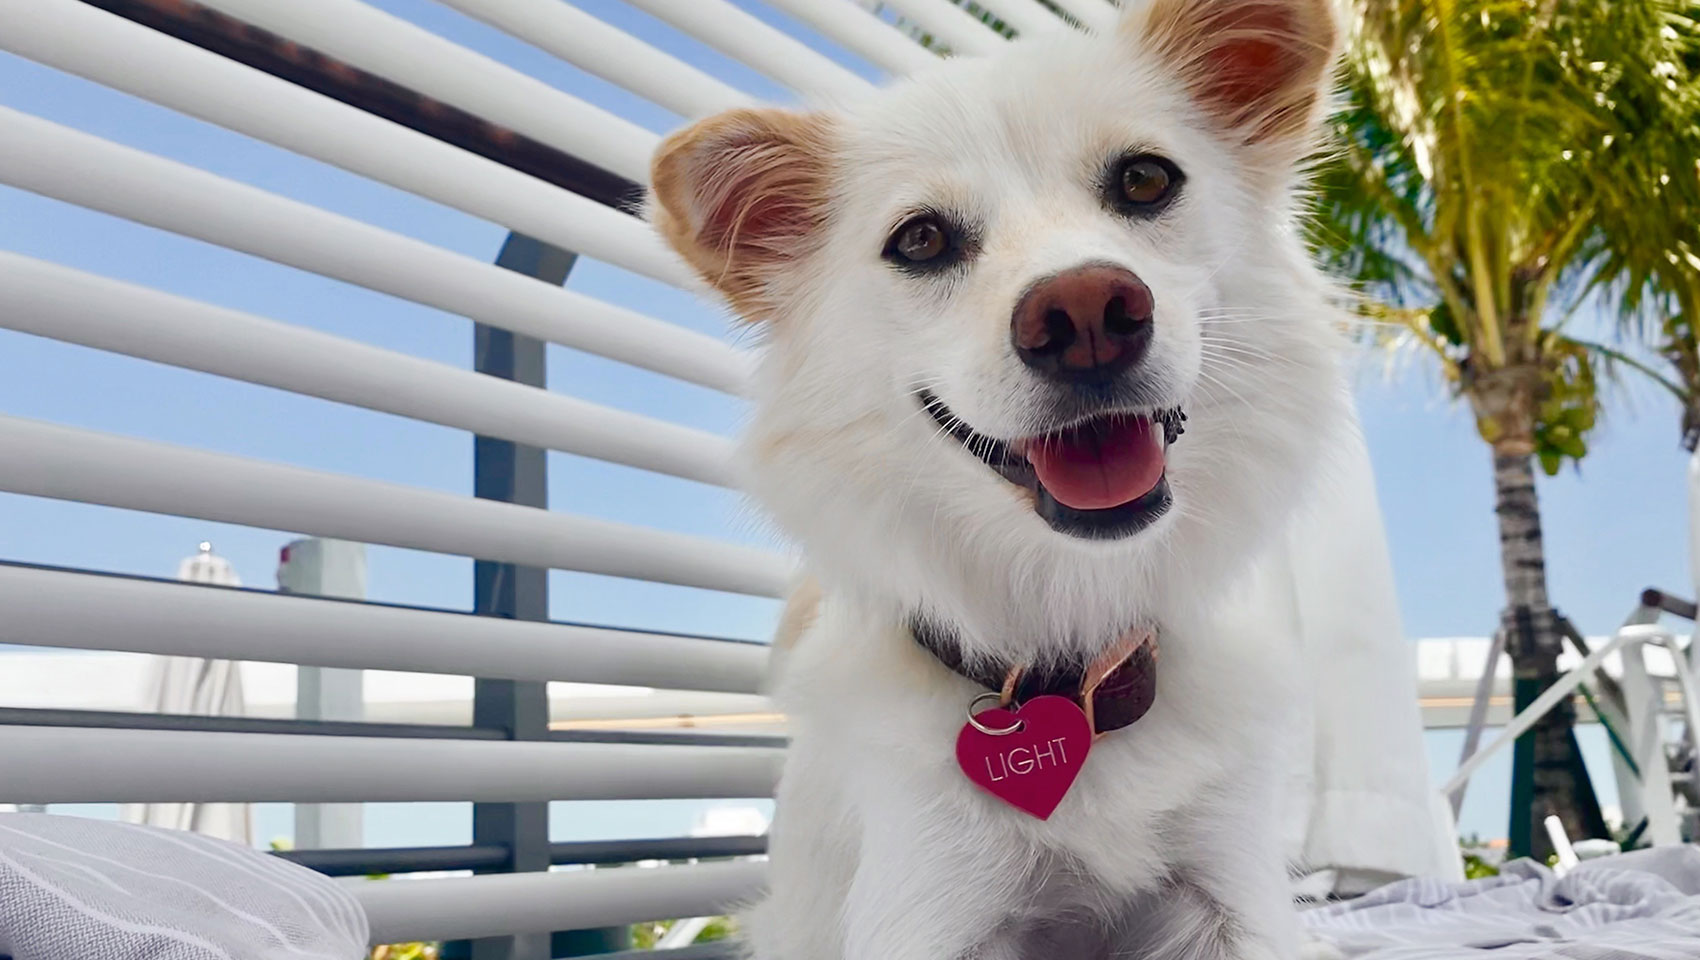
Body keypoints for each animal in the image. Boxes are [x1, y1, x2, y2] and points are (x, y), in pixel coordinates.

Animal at [649, 1, 1353, 951]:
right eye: (920, 240)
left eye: (1145, 181)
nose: (1086, 311)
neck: (1070, 662)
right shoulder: (930, 908)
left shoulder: (1232, 896)